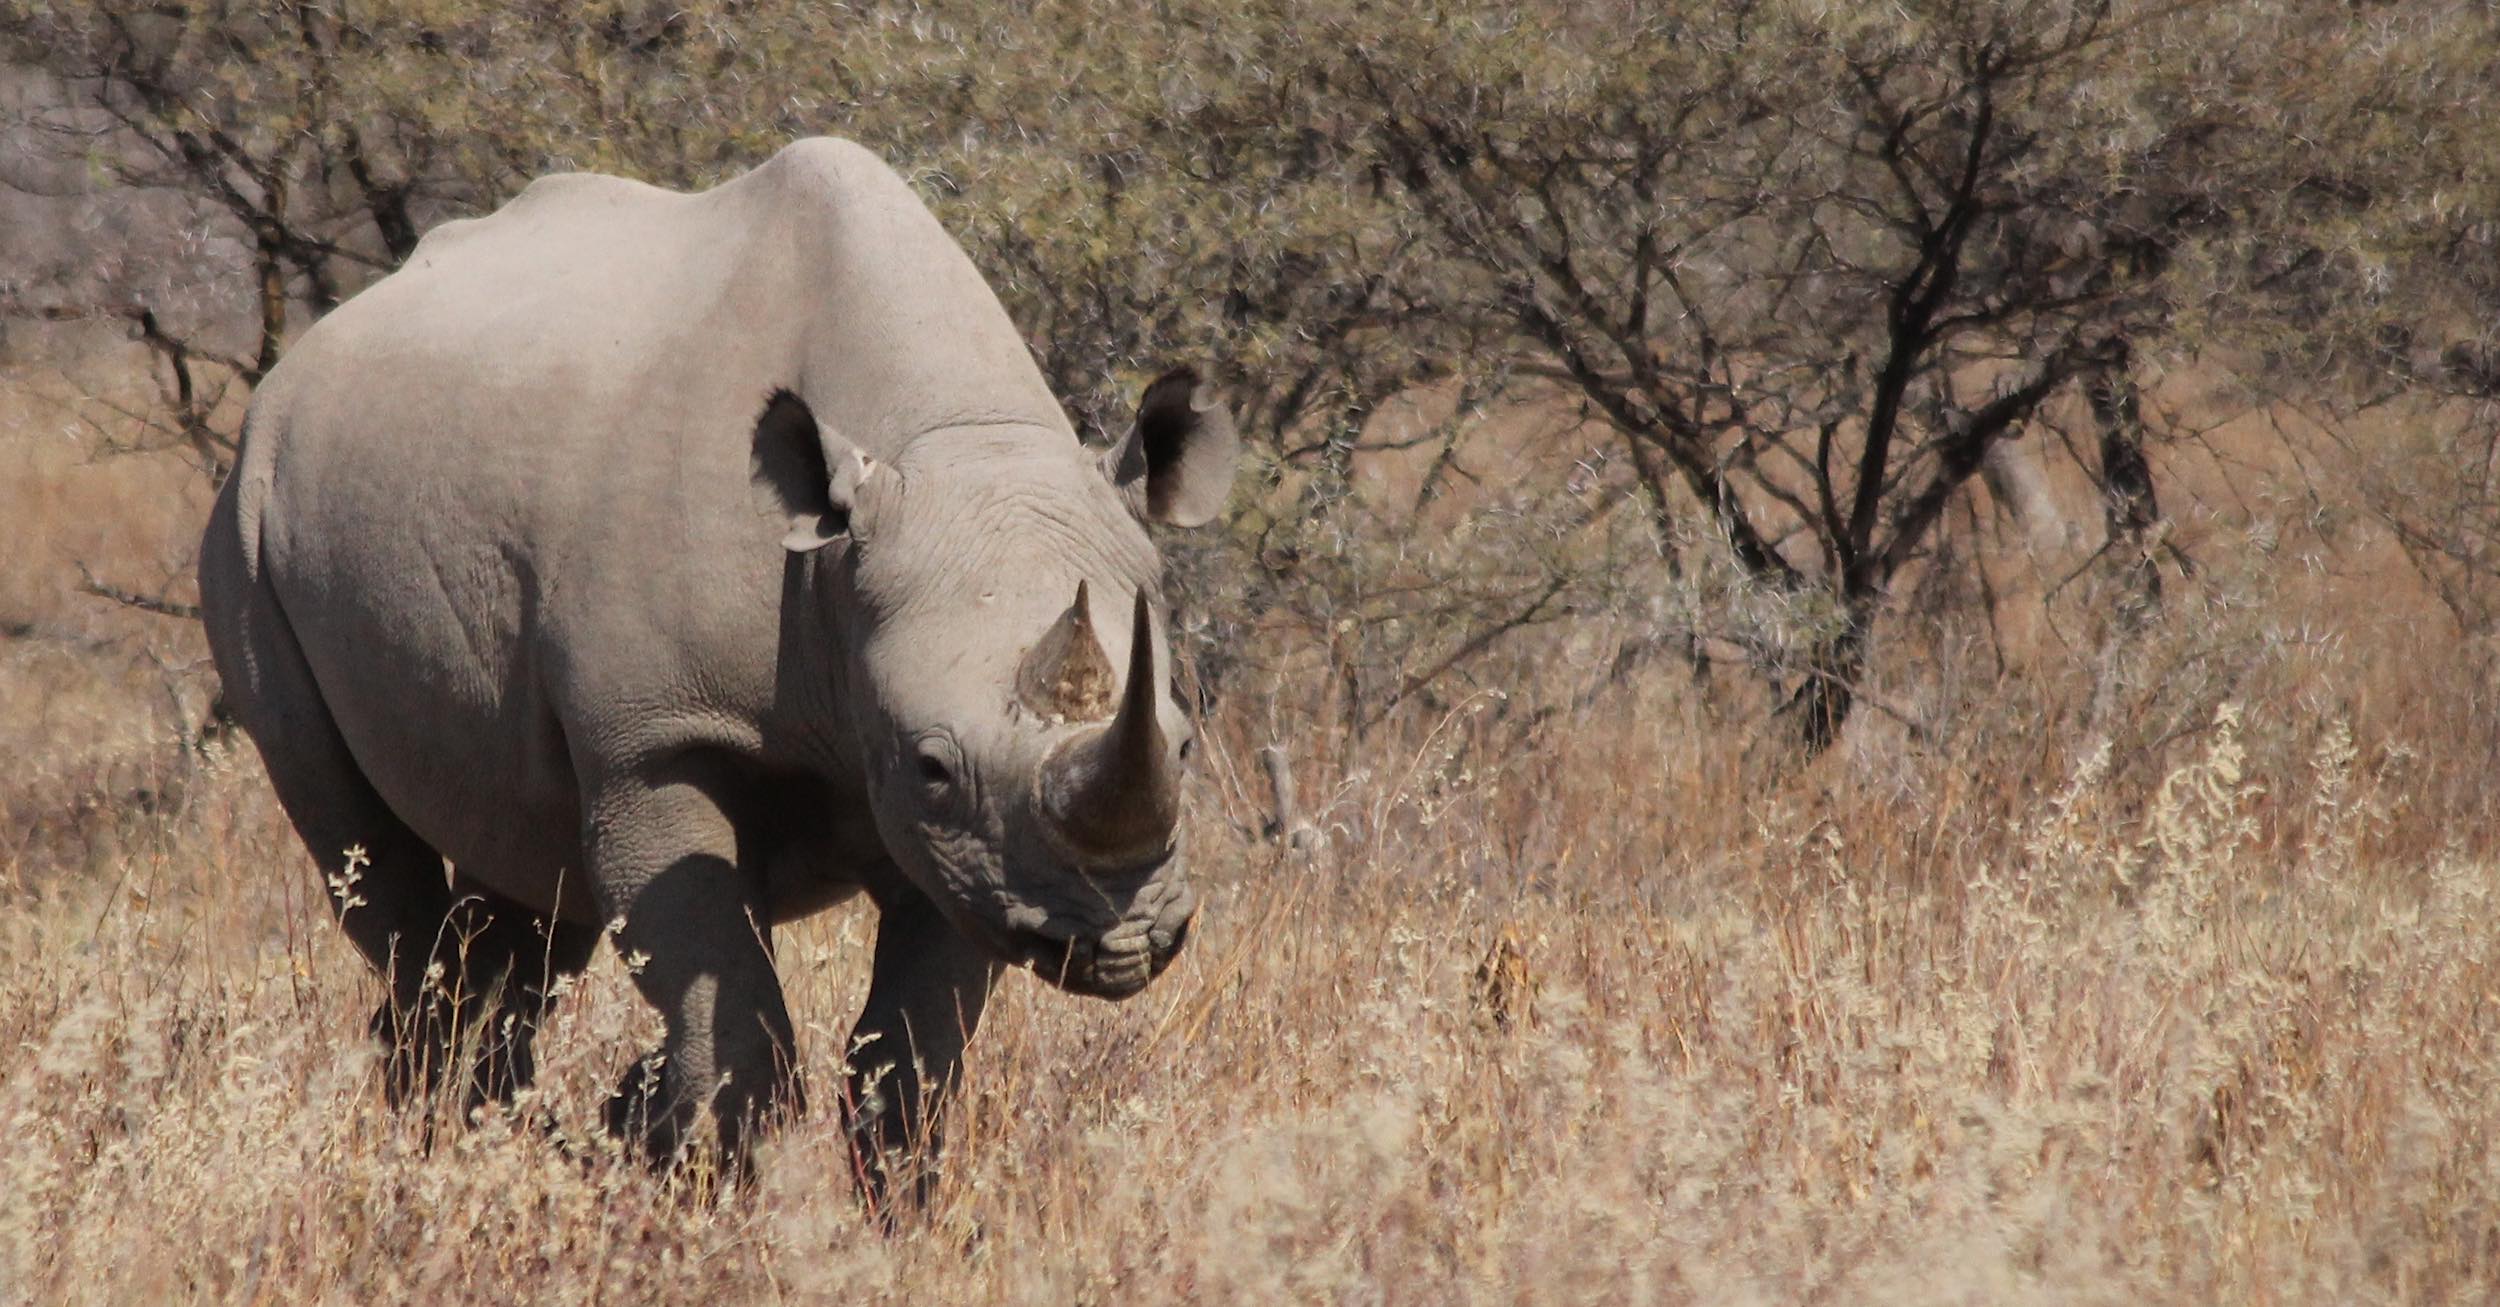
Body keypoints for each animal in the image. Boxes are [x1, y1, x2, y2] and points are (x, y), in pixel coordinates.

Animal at [196, 137, 1238, 1191]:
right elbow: (737, 1019)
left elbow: (909, 1061)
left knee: (523, 875)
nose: (1120, 941)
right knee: (368, 855)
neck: (942, 440)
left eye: (1185, 745)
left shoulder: (975, 849)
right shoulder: (662, 741)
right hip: (245, 519)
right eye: (933, 765)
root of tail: (296, 366)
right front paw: (701, 1182)